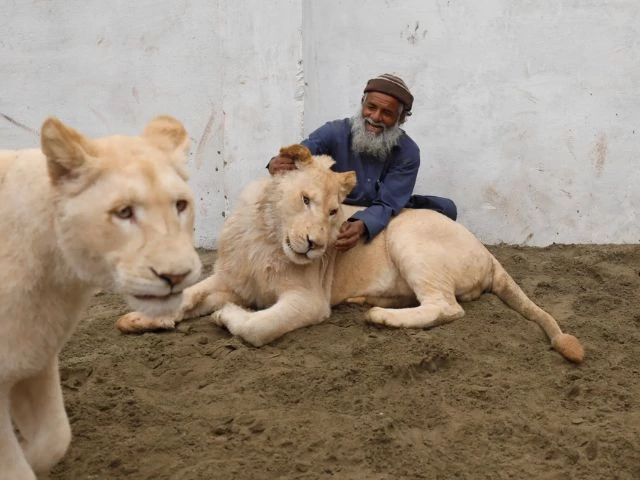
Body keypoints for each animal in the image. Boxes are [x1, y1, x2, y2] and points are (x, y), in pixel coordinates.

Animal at [0, 116, 202, 480]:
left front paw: (30, 455)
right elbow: (14, 467)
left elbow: (55, 437)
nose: (176, 276)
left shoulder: (34, 357)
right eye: (123, 212)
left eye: (180, 205)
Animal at [117, 144, 584, 365]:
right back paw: (369, 300)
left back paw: (380, 316)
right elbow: (191, 295)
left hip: (409, 236)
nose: (315, 245)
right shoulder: (233, 277)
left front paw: (228, 317)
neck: (266, 236)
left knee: (446, 307)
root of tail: (489, 255)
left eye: (333, 212)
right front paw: (140, 320)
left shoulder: (308, 301)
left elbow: (258, 327)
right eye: (305, 199)